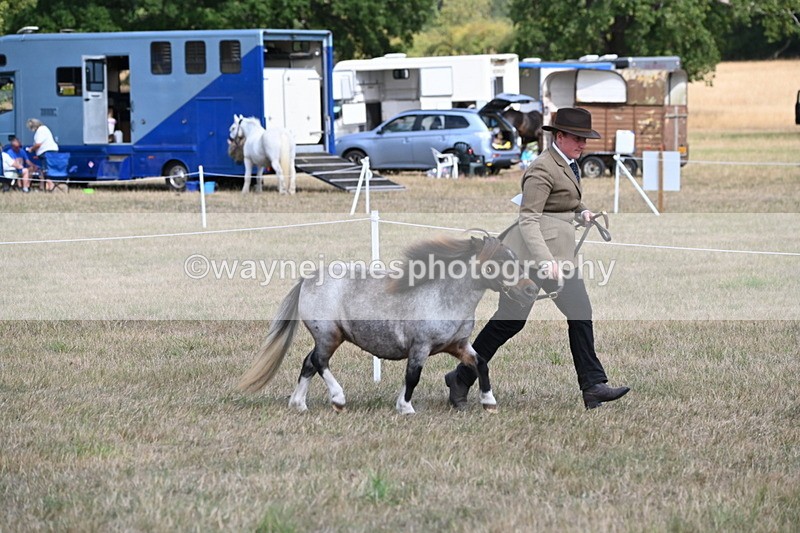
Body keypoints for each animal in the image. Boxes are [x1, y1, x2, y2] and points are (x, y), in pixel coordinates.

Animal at [238, 234, 537, 414]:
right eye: (500, 261)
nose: (531, 289)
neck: (444, 297)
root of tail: (308, 280)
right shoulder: (420, 347)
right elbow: (413, 376)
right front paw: (405, 407)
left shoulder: (458, 346)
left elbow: (480, 363)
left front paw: (489, 402)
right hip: (329, 336)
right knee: (319, 362)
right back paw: (338, 399)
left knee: (309, 363)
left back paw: (299, 404)